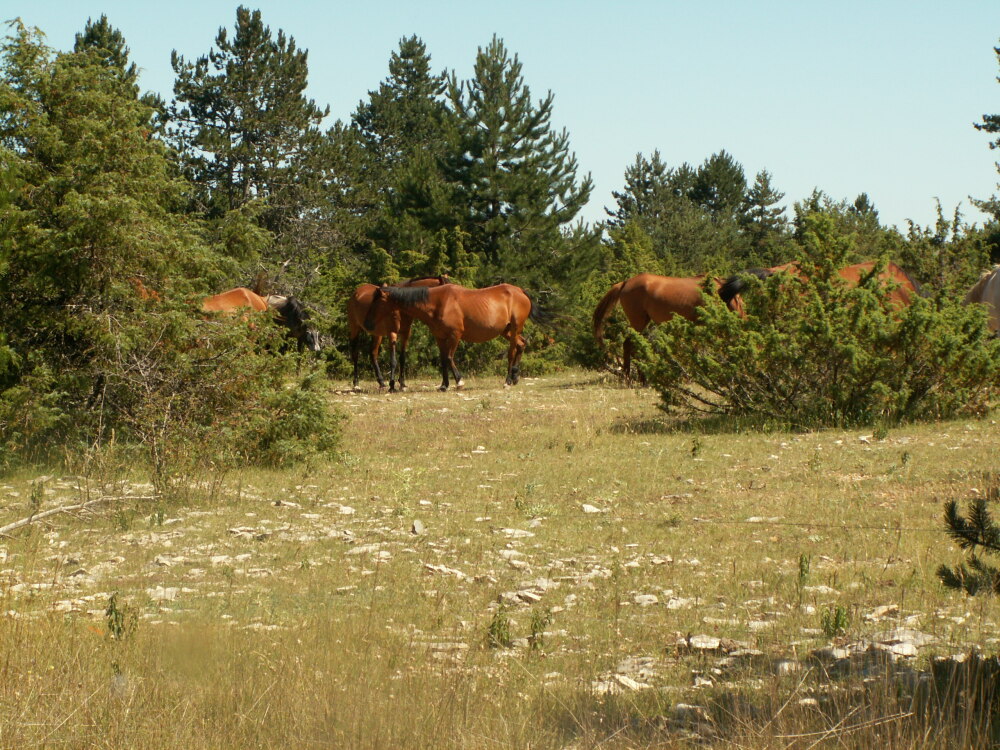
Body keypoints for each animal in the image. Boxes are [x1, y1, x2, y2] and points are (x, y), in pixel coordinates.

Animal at [364, 283, 538, 390]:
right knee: (521, 344)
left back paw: (508, 381)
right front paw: (444, 385)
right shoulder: (440, 337)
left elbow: (449, 358)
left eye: (377, 302)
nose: (367, 324)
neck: (438, 302)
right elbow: (443, 360)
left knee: (512, 352)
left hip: (515, 328)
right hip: (506, 331)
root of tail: (520, 291)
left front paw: (459, 381)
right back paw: (515, 377)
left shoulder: (455, 335)